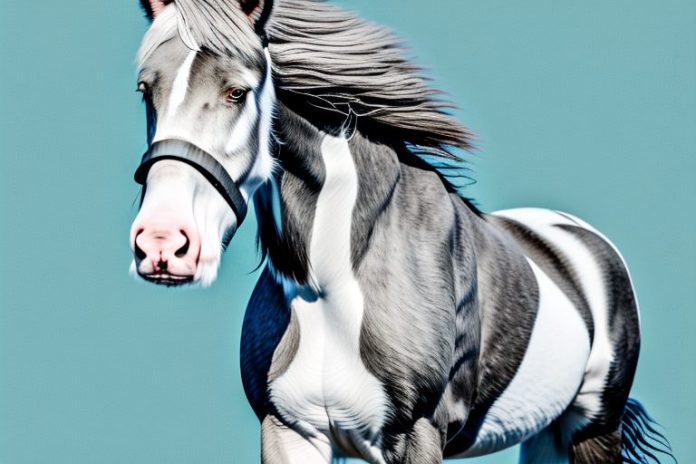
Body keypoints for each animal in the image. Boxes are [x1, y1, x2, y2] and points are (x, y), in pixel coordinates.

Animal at [128, 0, 675, 462]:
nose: (163, 244)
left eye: (237, 91)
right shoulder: (289, 430)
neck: (333, 280)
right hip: (546, 435)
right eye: (145, 89)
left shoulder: (418, 432)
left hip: (591, 430)